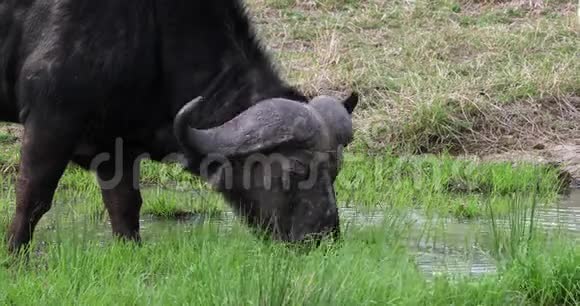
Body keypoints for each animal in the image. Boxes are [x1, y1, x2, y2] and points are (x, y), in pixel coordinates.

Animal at [0, 0, 358, 253]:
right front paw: (14, 255)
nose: (322, 239)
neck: (152, 25)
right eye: (295, 170)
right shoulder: (50, 122)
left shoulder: (117, 146)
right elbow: (33, 197)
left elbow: (125, 206)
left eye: (335, 170)